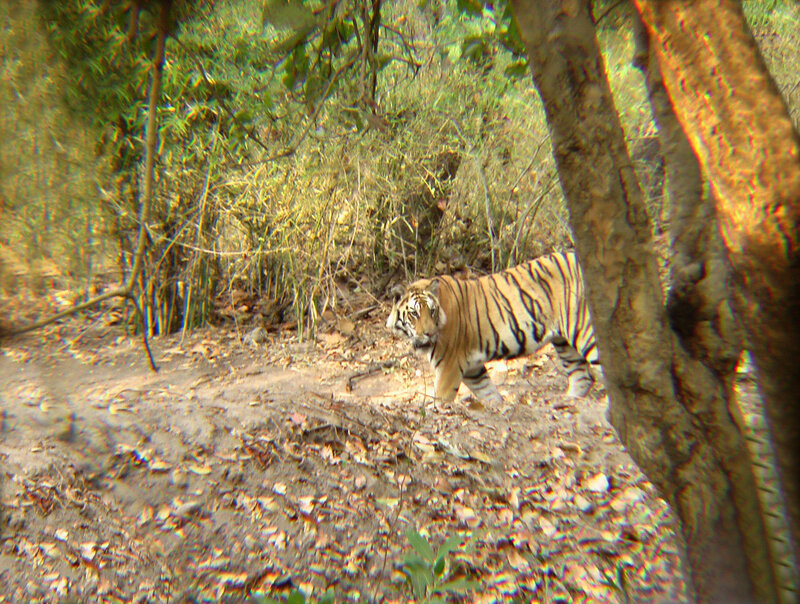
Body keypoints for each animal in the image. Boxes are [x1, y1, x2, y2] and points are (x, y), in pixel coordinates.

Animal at [385, 250, 601, 404]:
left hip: (586, 332)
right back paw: (569, 404)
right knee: (582, 377)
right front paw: (499, 408)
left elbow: (440, 400)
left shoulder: (449, 366)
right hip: (564, 343)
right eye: (414, 314)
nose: (429, 333)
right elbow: (488, 392)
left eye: (432, 311)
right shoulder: (472, 368)